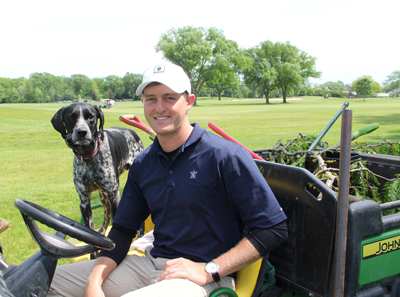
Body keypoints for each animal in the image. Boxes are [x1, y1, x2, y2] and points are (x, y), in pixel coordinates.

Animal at [50, 103, 143, 235]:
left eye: (91, 117)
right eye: (71, 117)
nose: (82, 132)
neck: (88, 155)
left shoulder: (114, 196)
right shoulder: (84, 201)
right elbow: (89, 227)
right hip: (103, 195)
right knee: (106, 216)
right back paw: (102, 231)